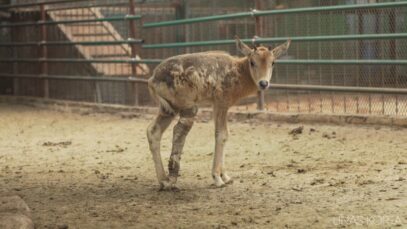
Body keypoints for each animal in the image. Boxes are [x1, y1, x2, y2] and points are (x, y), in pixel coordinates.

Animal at [147, 35, 290, 190]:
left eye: (273, 62)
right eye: (252, 62)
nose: (263, 83)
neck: (238, 72)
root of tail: (152, 80)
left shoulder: (218, 105)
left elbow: (225, 135)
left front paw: (226, 177)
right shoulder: (221, 102)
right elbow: (221, 135)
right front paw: (218, 178)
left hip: (167, 109)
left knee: (153, 131)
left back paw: (163, 180)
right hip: (188, 106)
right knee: (179, 130)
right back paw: (171, 180)